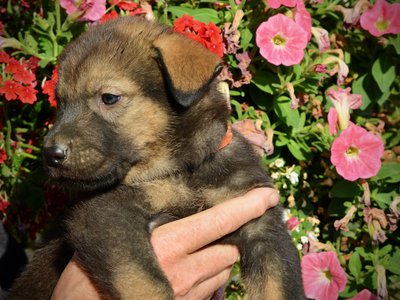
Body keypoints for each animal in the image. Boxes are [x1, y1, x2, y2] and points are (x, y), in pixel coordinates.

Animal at [7, 17, 304, 300]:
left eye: (109, 98)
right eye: (61, 103)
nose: (50, 155)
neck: (183, 168)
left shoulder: (263, 227)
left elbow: (279, 287)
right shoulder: (104, 212)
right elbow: (147, 284)